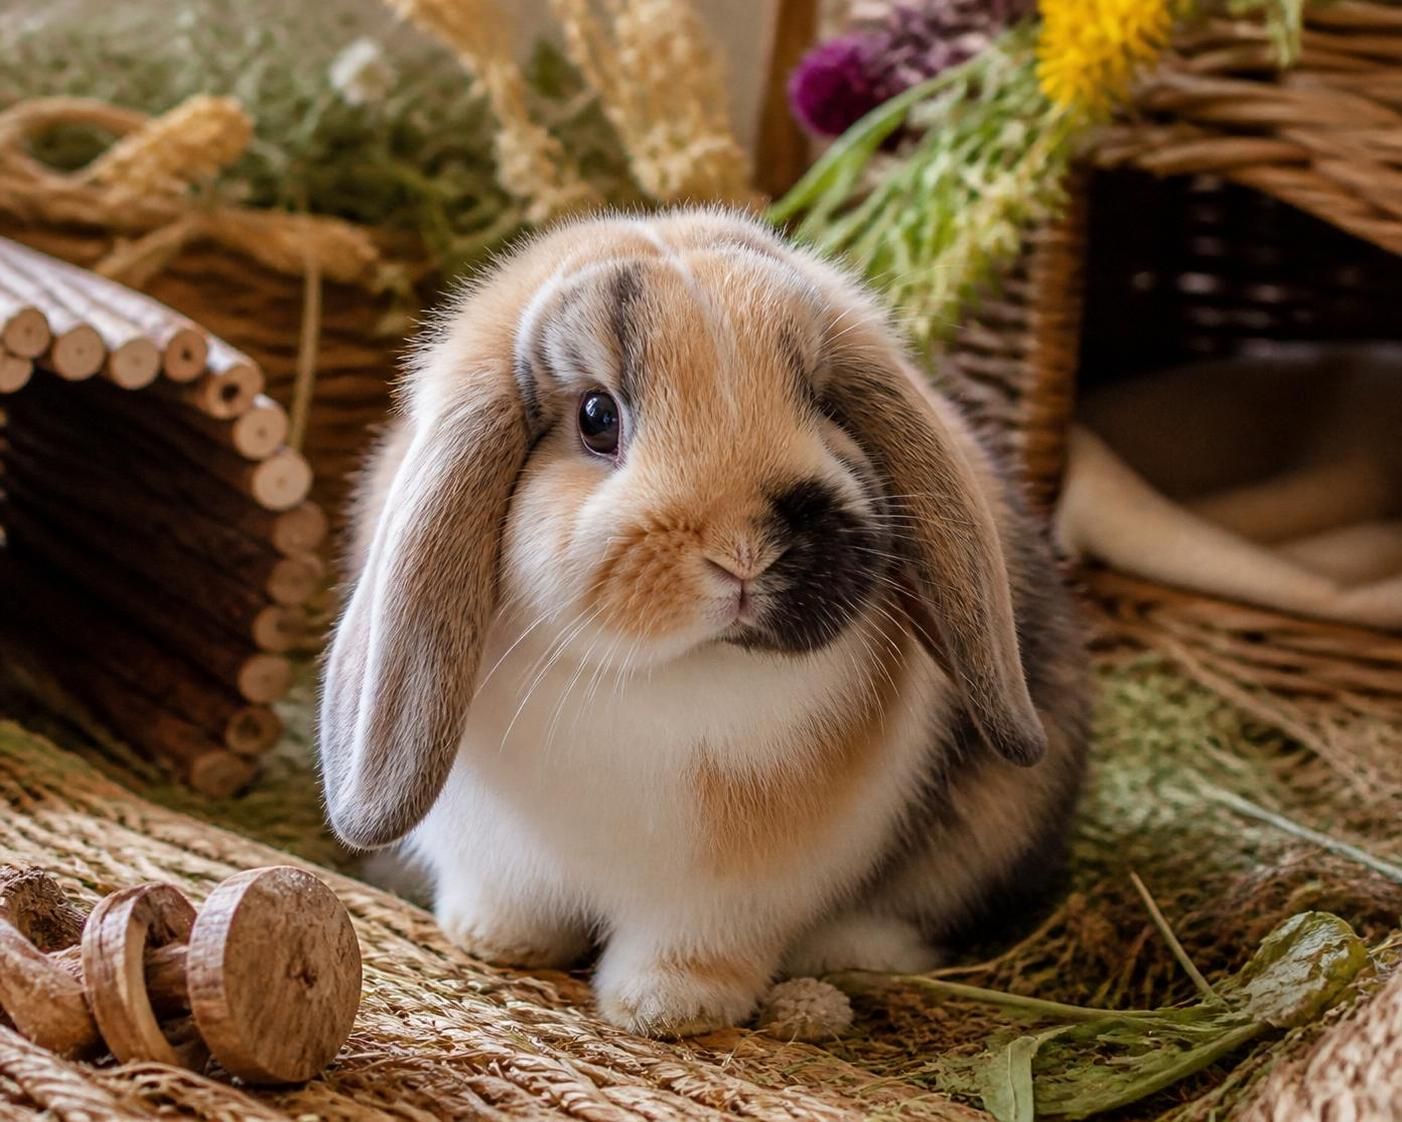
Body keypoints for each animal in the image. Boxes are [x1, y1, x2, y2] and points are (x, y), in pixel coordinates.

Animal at [319, 209, 1090, 1038]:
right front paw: (496, 941)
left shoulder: (732, 893)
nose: (743, 552)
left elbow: (694, 945)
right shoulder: (495, 853)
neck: (670, 677)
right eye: (597, 418)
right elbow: (512, 899)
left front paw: (666, 1009)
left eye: (822, 404)